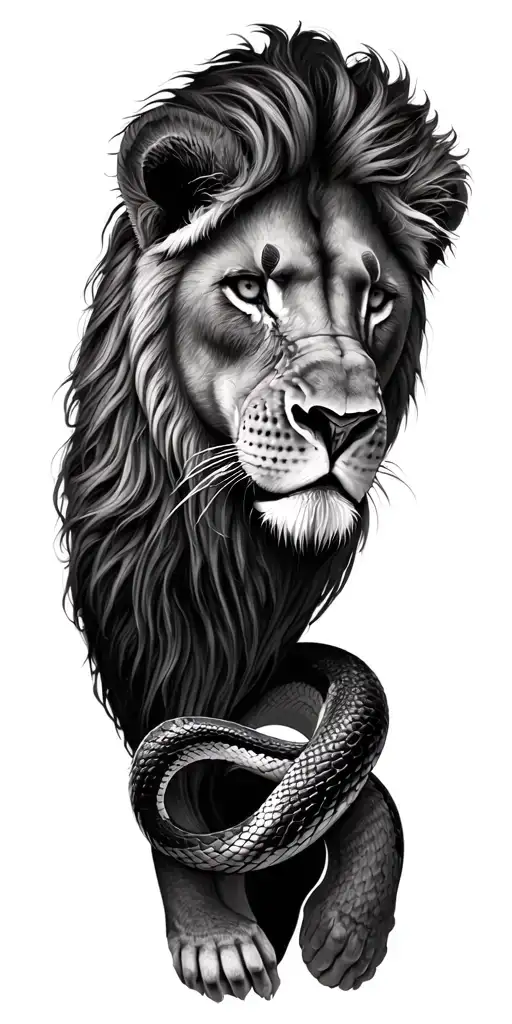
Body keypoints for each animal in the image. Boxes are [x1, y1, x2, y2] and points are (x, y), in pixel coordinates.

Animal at [55, 24, 467, 1002]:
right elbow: (177, 795)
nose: (343, 422)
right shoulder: (149, 635)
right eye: (251, 290)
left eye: (378, 297)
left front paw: (345, 927)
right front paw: (218, 938)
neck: (226, 542)